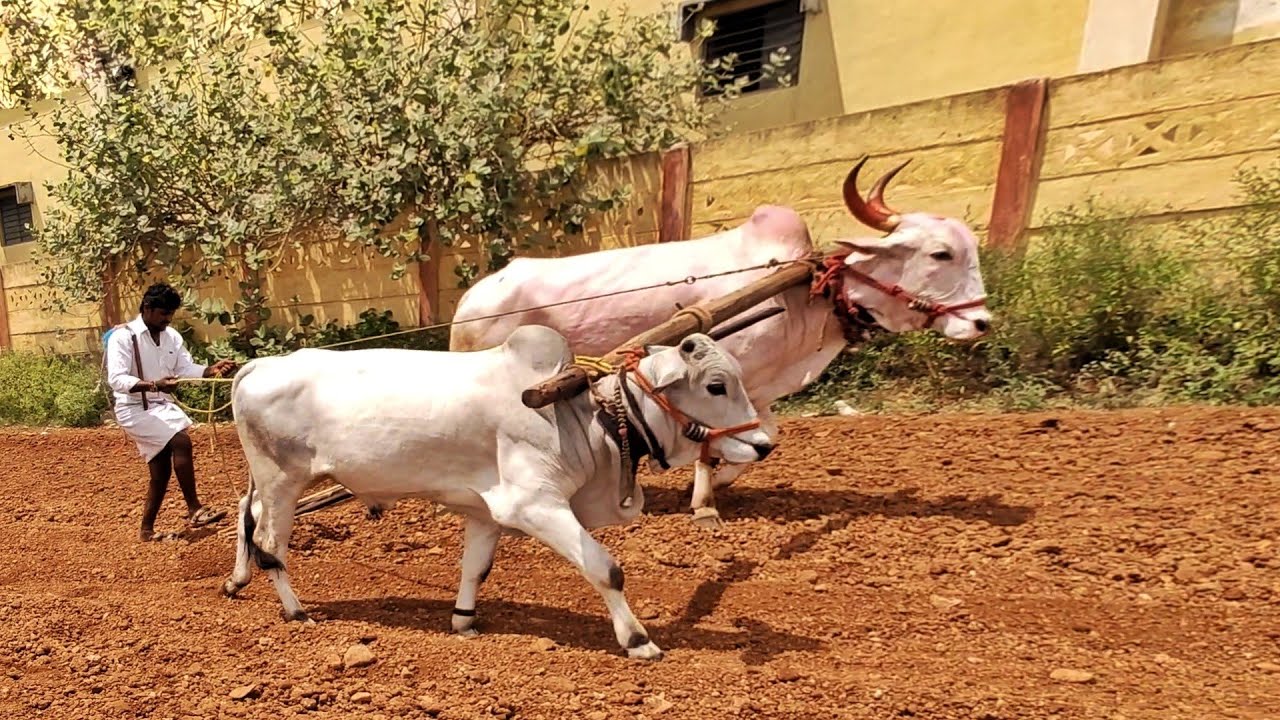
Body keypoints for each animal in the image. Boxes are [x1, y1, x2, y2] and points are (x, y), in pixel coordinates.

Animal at [221, 327, 773, 659]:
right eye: (717, 386)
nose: (764, 444)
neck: (581, 415)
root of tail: (260, 365)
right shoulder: (535, 505)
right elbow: (606, 569)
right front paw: (639, 640)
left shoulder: (485, 512)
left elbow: (475, 569)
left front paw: (464, 621)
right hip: (282, 480)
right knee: (270, 544)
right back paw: (295, 611)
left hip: (278, 483)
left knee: (246, 514)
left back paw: (236, 581)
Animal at [448, 157, 992, 526]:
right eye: (941, 253)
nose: (982, 323)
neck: (803, 294)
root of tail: (473, 299)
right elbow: (717, 446)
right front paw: (705, 505)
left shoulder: (758, 391)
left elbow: (766, 435)